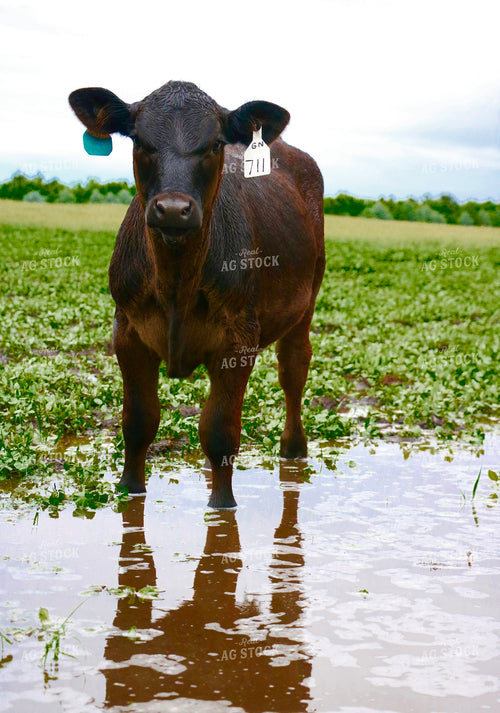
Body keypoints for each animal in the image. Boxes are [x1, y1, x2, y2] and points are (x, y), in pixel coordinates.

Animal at [68, 80, 325, 509]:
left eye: (215, 144)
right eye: (140, 140)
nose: (173, 209)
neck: (176, 284)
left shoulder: (239, 341)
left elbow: (220, 431)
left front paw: (222, 507)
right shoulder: (127, 332)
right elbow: (138, 422)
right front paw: (129, 490)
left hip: (305, 305)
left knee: (293, 370)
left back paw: (293, 450)